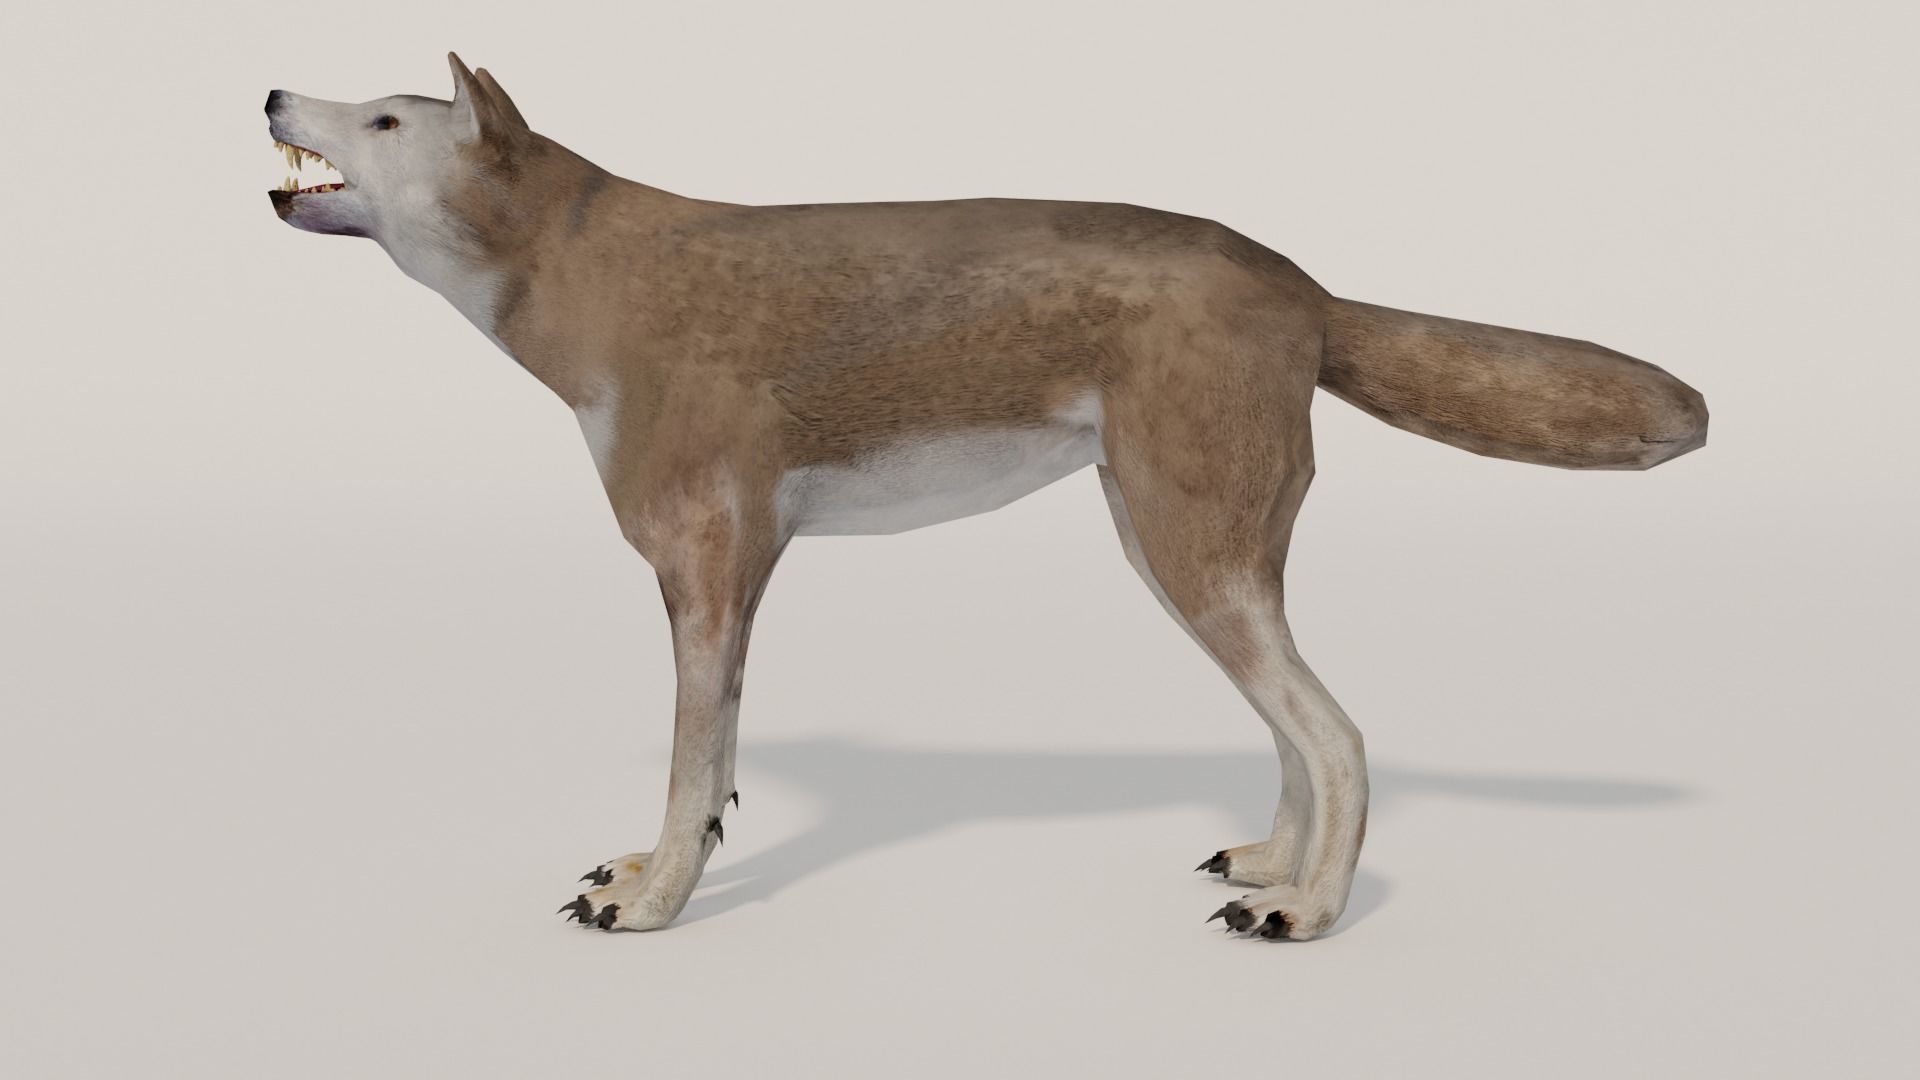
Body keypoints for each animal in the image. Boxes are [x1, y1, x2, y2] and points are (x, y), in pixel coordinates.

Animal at [264, 54, 1707, 940]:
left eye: (386, 119)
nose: (273, 89)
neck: (587, 269)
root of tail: (1303, 282)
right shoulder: (732, 576)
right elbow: (716, 768)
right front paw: (653, 870)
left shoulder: (709, 564)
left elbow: (688, 767)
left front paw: (658, 901)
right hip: (1176, 553)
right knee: (1299, 738)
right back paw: (1271, 867)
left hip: (1193, 559)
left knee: (1341, 736)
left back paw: (1305, 913)